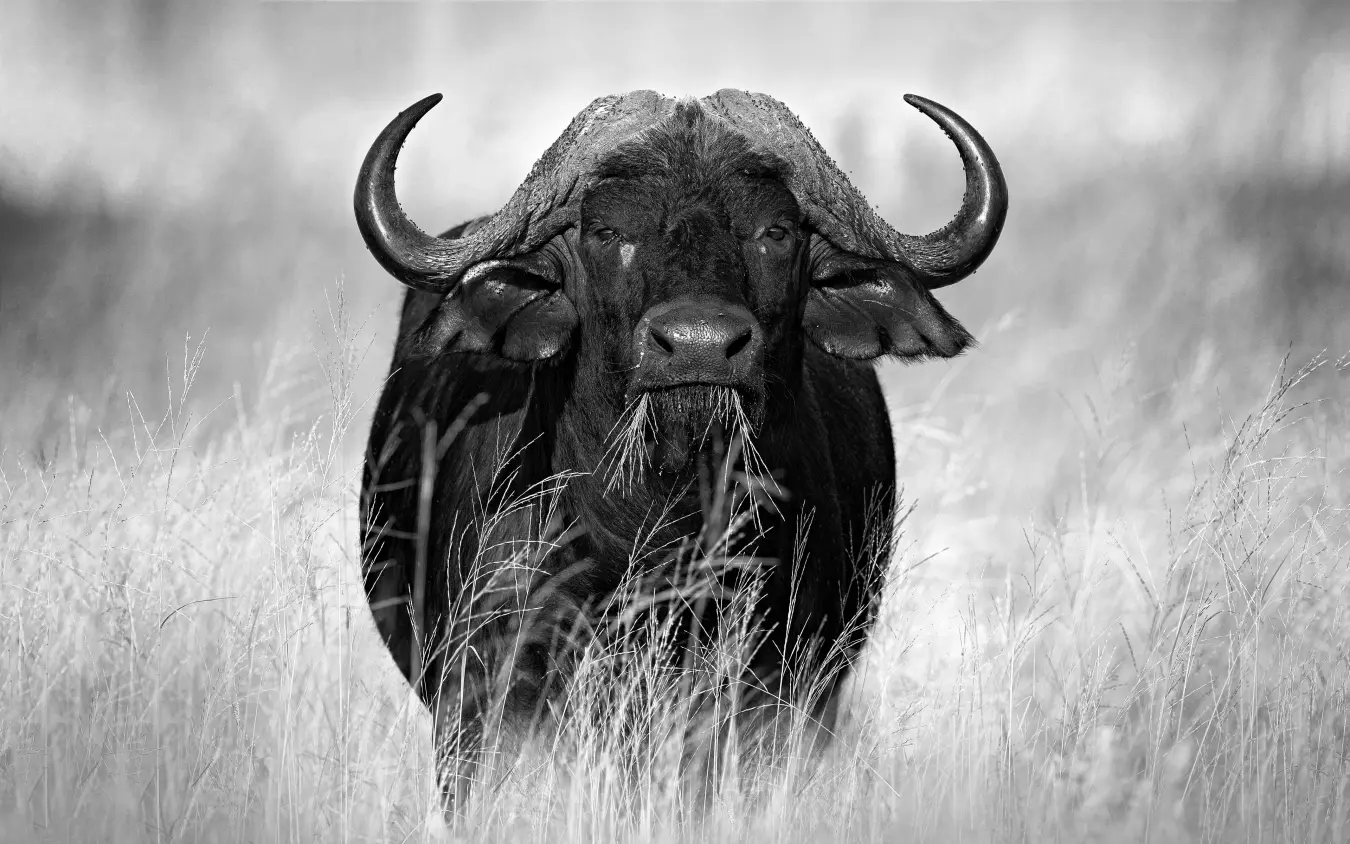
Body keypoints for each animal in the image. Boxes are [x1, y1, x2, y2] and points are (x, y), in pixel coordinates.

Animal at [355, 89, 1007, 808]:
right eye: (607, 232)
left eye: (775, 232)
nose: (700, 345)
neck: (657, 534)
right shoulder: (484, 700)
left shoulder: (776, 696)